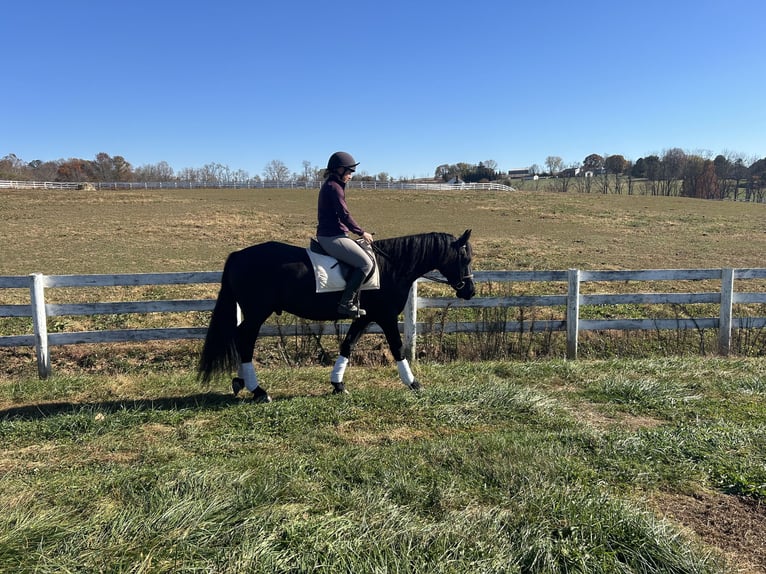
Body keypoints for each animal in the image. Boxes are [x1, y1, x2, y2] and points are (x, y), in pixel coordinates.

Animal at [198, 230, 474, 400]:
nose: (470, 291)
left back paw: (241, 382)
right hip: (257, 313)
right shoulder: (385, 317)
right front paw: (414, 383)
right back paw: (257, 390)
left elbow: (347, 345)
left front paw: (338, 385)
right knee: (244, 339)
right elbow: (397, 348)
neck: (393, 266)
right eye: (465, 258)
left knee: (240, 338)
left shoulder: (364, 317)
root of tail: (237, 255)